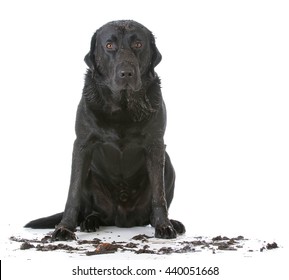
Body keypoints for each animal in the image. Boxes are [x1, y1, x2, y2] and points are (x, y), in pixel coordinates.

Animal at [25, 19, 184, 240]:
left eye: (138, 44)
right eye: (109, 45)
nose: (126, 73)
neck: (122, 107)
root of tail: (124, 220)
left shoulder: (156, 145)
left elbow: (158, 196)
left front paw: (164, 225)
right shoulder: (82, 145)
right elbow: (72, 194)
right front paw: (64, 227)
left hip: (168, 164)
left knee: (151, 212)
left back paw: (170, 222)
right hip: (90, 173)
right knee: (91, 210)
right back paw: (89, 221)